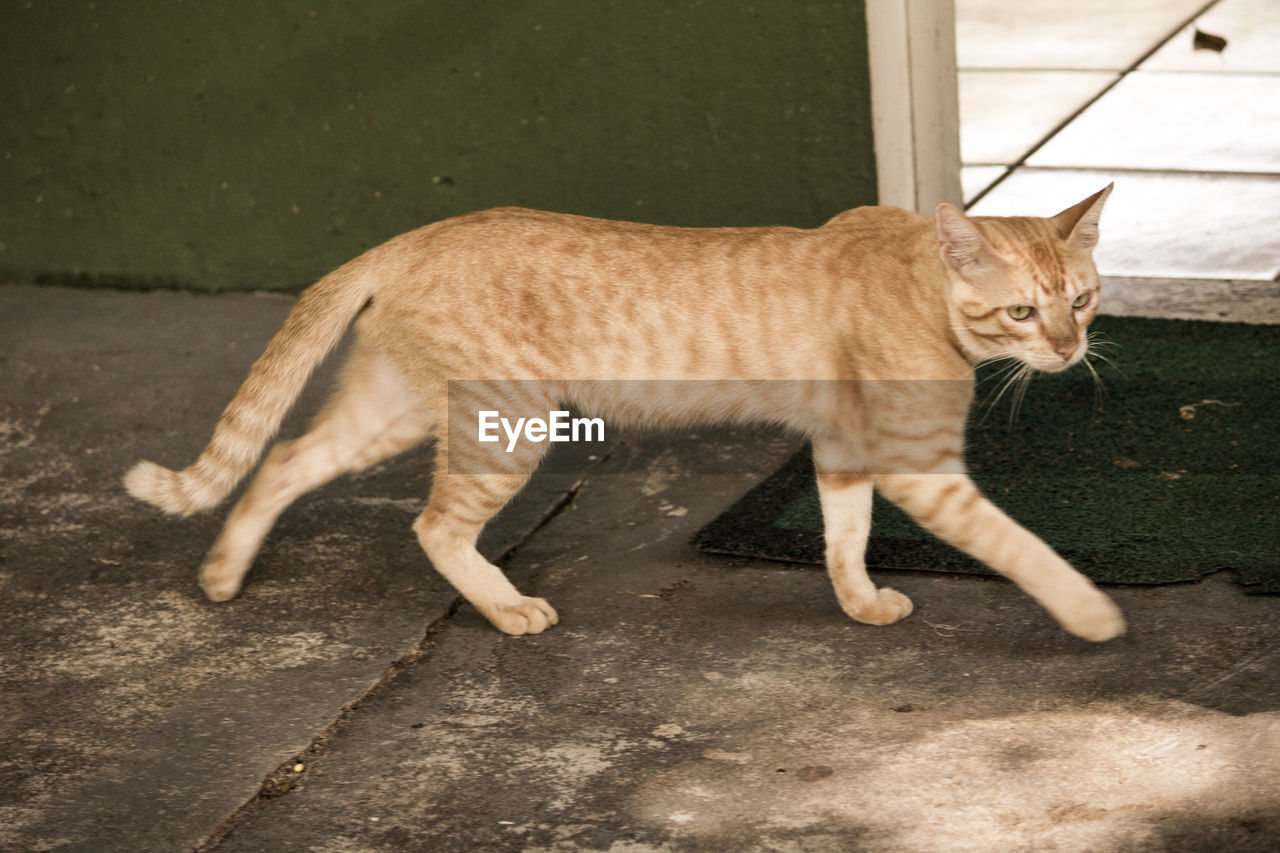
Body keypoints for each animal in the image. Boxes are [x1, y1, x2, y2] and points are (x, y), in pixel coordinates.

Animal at [127, 185, 1121, 637]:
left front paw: (859, 601)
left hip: (393, 407)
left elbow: (846, 536)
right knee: (434, 526)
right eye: (1023, 311)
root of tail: (408, 236)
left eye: (1083, 299)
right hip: (506, 425)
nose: (1069, 350)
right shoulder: (918, 465)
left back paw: (223, 573)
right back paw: (506, 608)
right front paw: (1091, 613)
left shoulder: (842, 448)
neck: (917, 279)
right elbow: (1021, 545)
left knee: (281, 459)